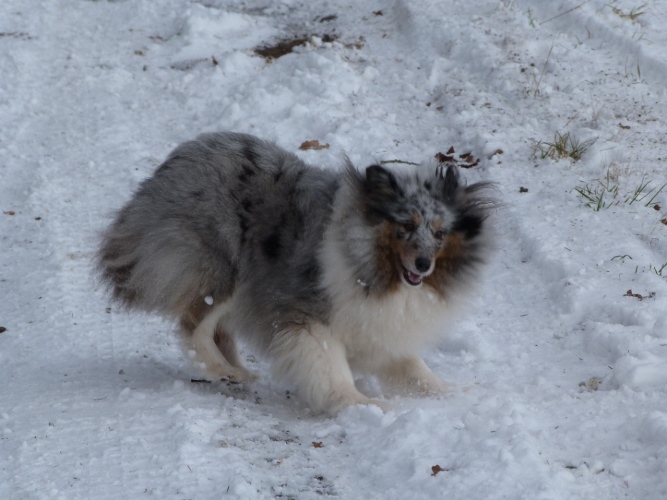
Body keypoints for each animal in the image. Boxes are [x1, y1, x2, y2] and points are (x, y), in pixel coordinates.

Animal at [99, 133, 496, 414]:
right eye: (406, 226)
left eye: (441, 233)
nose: (423, 265)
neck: (377, 273)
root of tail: (178, 159)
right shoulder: (309, 316)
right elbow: (332, 368)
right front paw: (360, 404)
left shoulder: (379, 328)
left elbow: (415, 369)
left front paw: (453, 393)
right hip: (225, 269)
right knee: (192, 325)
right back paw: (221, 370)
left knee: (218, 329)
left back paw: (239, 370)